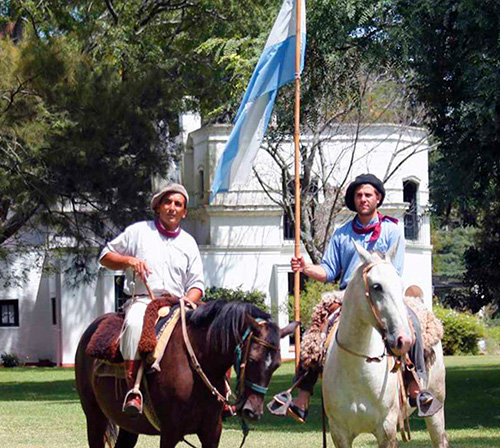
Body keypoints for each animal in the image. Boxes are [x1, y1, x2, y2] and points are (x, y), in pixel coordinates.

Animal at [75, 300, 296, 448]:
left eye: (276, 365)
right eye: (252, 359)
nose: (253, 411)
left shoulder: (211, 431)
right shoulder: (170, 431)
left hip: (129, 426)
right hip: (94, 417)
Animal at [324, 243, 450, 446]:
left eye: (400, 285)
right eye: (377, 286)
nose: (404, 340)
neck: (357, 370)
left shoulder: (387, 430)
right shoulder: (339, 433)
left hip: (435, 407)